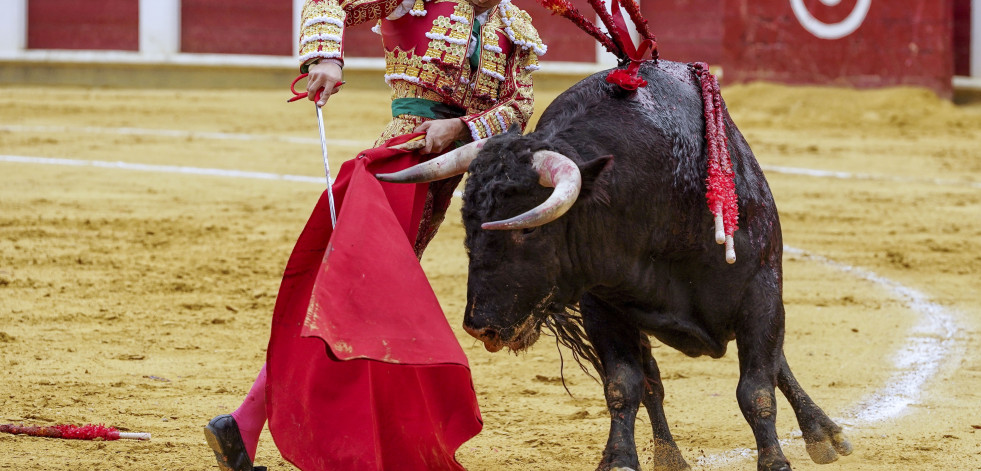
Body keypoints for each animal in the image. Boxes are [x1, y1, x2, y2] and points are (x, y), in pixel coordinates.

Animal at [376, 60, 848, 470]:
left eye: (526, 229)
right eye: (469, 221)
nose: (480, 326)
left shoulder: (761, 290)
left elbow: (757, 389)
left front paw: (776, 461)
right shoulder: (602, 303)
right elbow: (624, 384)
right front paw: (620, 459)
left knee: (771, 363)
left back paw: (824, 434)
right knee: (652, 381)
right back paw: (670, 458)